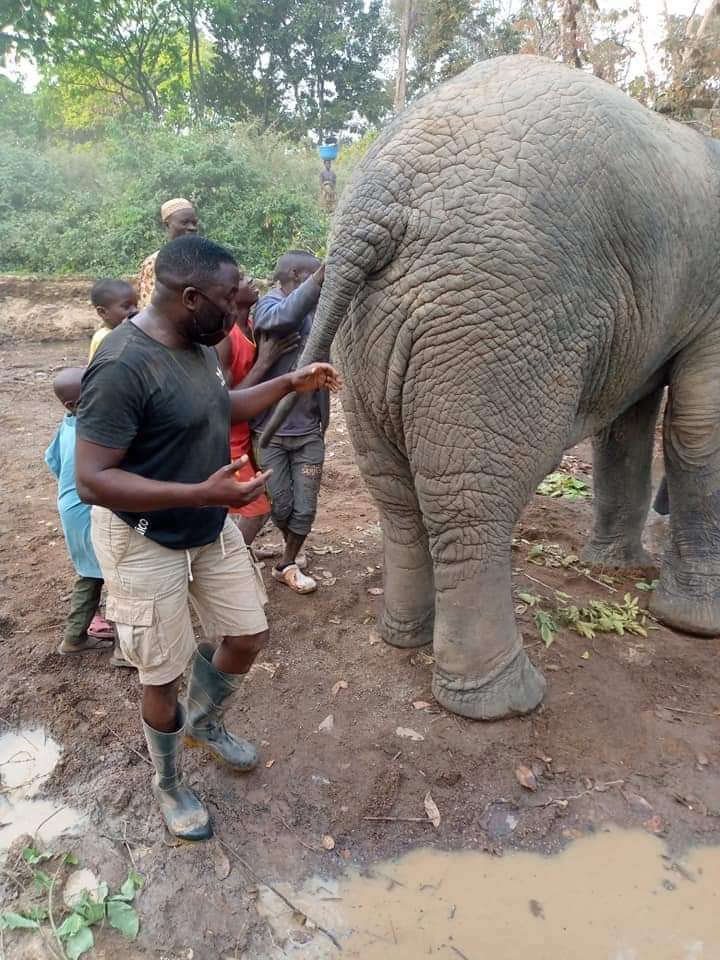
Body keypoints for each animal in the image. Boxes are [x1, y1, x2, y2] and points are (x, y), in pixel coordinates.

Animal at [261, 56, 720, 721]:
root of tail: (377, 196)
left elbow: (627, 429)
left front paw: (617, 569)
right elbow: (699, 427)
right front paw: (695, 626)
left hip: (387, 328)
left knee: (398, 496)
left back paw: (404, 640)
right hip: (495, 320)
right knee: (472, 497)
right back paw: (505, 702)